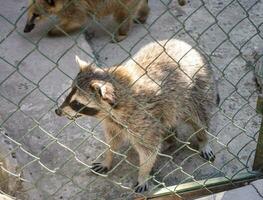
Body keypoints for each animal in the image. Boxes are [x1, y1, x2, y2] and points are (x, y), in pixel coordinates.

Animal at [23, 0, 151, 41]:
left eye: (36, 15)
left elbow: (77, 21)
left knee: (123, 15)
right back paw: (144, 14)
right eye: (31, 13)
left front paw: (53, 31)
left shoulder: (74, 6)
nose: (25, 29)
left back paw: (122, 33)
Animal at [55, 38, 219, 193]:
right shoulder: (113, 123)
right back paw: (171, 139)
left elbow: (148, 151)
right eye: (69, 94)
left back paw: (203, 139)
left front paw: (143, 174)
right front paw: (108, 157)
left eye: (76, 103)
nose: (58, 111)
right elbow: (113, 140)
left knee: (200, 119)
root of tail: (188, 46)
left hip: (199, 90)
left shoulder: (142, 118)